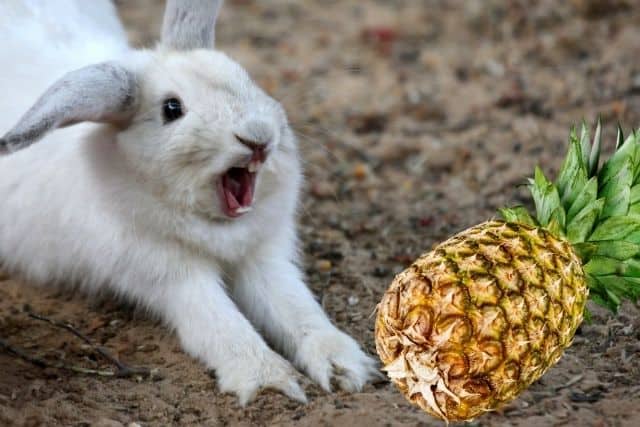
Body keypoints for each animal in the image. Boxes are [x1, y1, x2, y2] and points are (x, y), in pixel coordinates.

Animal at [0, 0, 378, 405]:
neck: (218, 227)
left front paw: (345, 367)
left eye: (245, 77)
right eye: (171, 109)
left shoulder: (264, 260)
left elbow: (296, 308)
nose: (258, 137)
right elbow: (222, 325)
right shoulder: (173, 276)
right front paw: (269, 382)